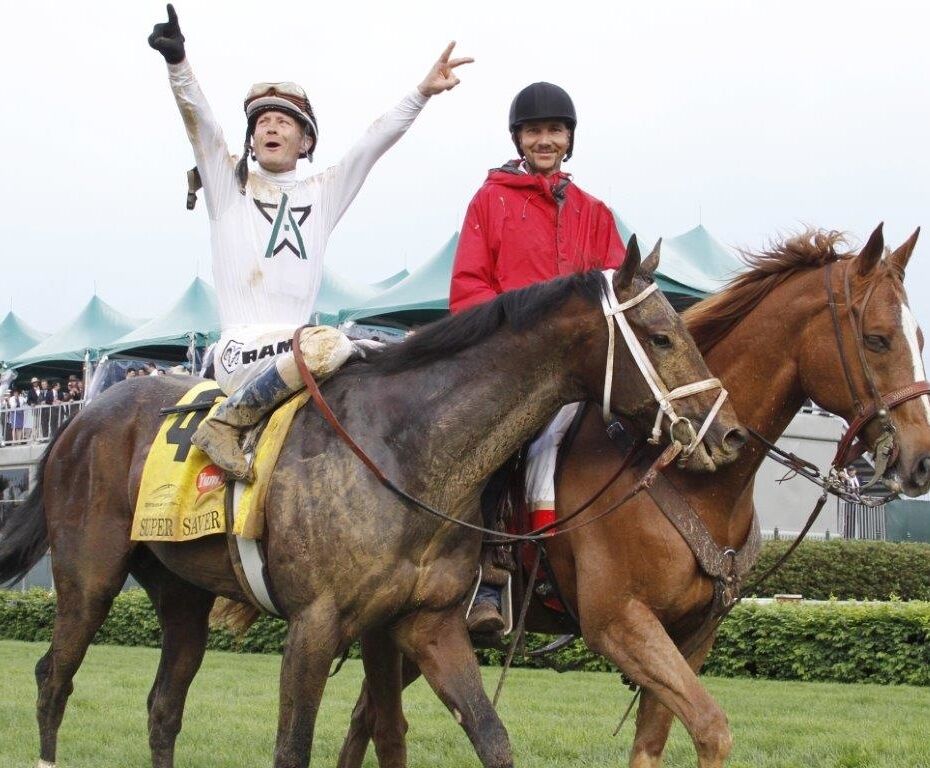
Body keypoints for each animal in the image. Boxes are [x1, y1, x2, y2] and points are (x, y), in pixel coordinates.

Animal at [0, 243, 744, 768]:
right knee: (51, 678)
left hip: (181, 593)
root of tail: (80, 417)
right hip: (89, 579)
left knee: (163, 704)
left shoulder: (427, 623)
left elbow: (483, 738)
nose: (729, 432)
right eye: (662, 336)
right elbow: (294, 747)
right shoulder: (315, 624)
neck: (405, 449)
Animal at [340, 224, 928, 768]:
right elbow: (712, 728)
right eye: (877, 339)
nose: (921, 460)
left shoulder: (692, 636)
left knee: (365, 714)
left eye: (919, 339)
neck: (689, 479)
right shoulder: (620, 623)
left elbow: (654, 742)